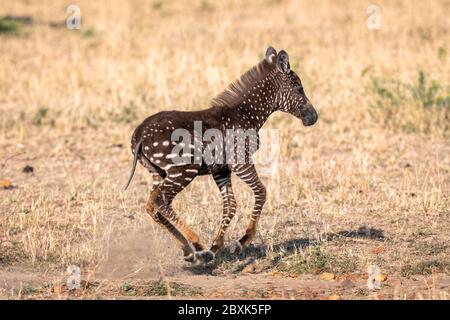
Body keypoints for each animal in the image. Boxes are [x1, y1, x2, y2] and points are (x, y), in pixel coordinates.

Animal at [125, 46, 318, 264]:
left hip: (158, 173)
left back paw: (188, 250)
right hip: (182, 171)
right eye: (299, 89)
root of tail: (139, 133)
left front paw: (217, 245)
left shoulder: (221, 169)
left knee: (152, 205)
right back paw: (197, 245)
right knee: (160, 201)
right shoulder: (241, 162)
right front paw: (242, 240)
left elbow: (230, 205)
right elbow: (261, 192)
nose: (313, 117)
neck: (246, 114)